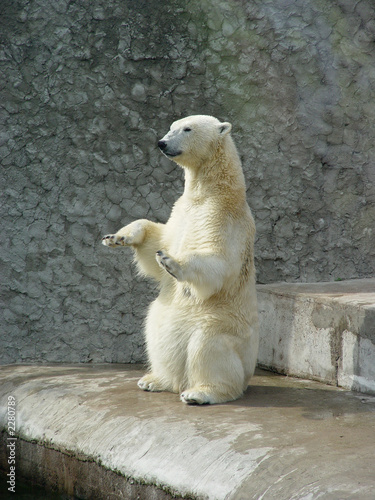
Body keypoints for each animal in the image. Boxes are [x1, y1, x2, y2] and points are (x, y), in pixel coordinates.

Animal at [103, 115, 262, 404]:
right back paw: (155, 380)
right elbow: (159, 239)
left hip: (220, 326)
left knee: (207, 347)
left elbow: (218, 262)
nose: (162, 143)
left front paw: (172, 262)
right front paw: (118, 236)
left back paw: (200, 393)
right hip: (163, 319)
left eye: (187, 129)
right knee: (155, 329)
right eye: (171, 127)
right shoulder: (181, 211)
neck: (211, 193)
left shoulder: (224, 218)